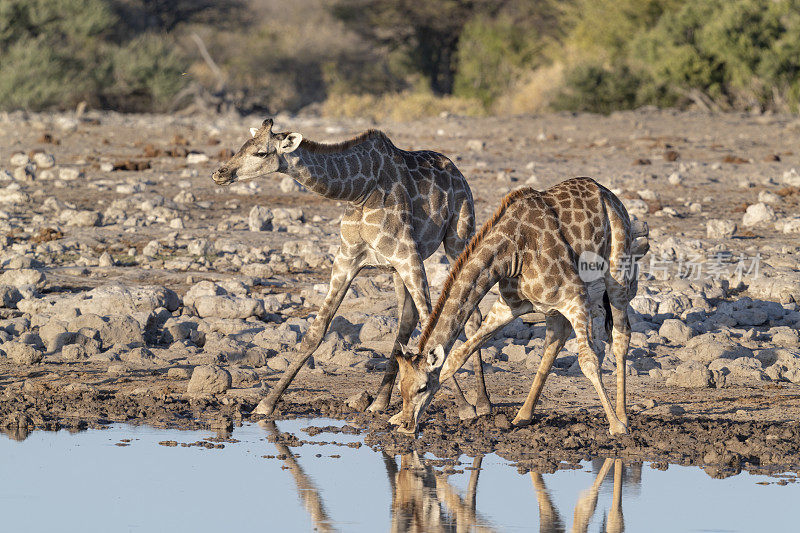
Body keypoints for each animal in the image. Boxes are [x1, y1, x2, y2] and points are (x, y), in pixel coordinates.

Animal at [211, 118, 488, 418]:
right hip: (397, 269)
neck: (359, 191)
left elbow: (432, 324)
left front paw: (465, 407)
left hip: (458, 237)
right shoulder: (347, 259)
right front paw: (266, 404)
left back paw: (483, 402)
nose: (219, 173)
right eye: (241, 146)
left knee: (471, 315)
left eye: (260, 152)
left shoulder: (407, 255)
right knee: (406, 321)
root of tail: (458, 171)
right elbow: (315, 331)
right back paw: (379, 402)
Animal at [394, 177, 648, 434]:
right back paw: (522, 416)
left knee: (620, 336)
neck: (509, 254)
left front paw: (616, 426)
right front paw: (397, 418)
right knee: (554, 343)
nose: (407, 423)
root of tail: (609, 195)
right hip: (554, 309)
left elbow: (589, 361)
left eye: (422, 387)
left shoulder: (576, 298)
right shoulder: (508, 306)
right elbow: (456, 357)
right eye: (400, 387)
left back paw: (622, 416)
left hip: (617, 274)